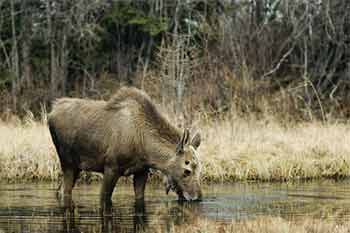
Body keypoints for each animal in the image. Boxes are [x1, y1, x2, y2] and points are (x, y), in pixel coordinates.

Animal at [48, 87, 204, 206]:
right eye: (187, 170)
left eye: (199, 169)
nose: (198, 198)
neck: (146, 151)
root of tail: (51, 113)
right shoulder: (111, 167)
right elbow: (104, 198)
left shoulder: (142, 171)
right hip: (67, 162)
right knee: (65, 190)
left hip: (77, 166)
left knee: (59, 190)